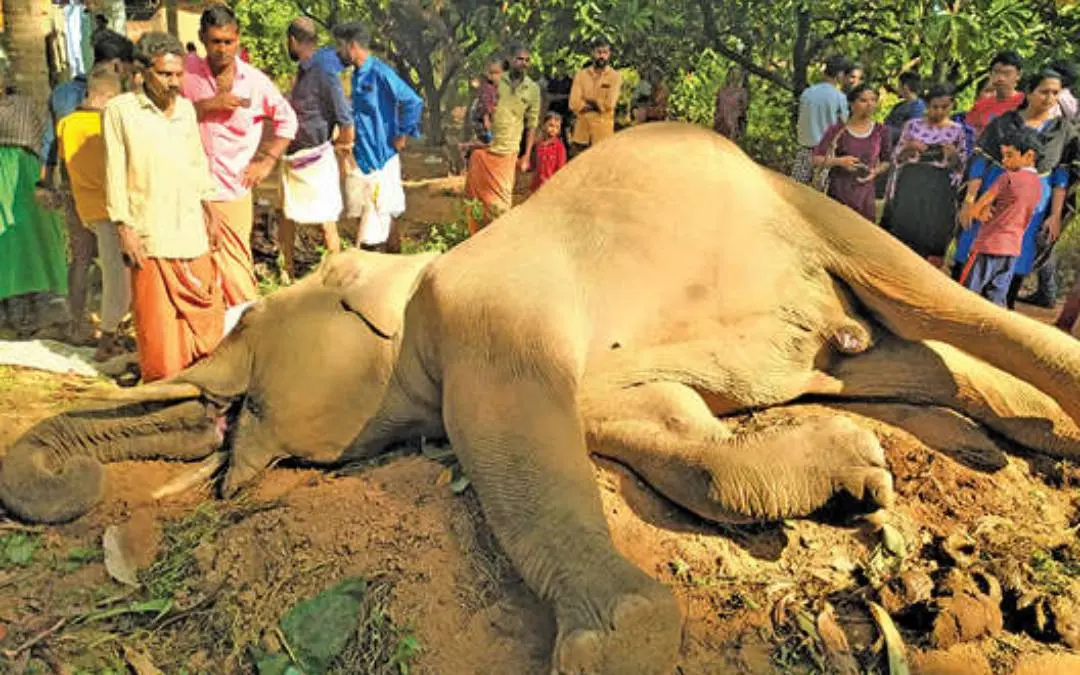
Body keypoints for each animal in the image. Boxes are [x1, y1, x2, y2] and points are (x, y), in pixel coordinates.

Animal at [2, 122, 1079, 674]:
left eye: (250, 322)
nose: (217, 432)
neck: (412, 280)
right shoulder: (605, 386)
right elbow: (671, 439)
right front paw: (856, 474)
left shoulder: (489, 310)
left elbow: (516, 446)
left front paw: (615, 645)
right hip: (843, 328)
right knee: (909, 356)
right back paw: (987, 437)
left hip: (806, 205)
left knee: (936, 301)